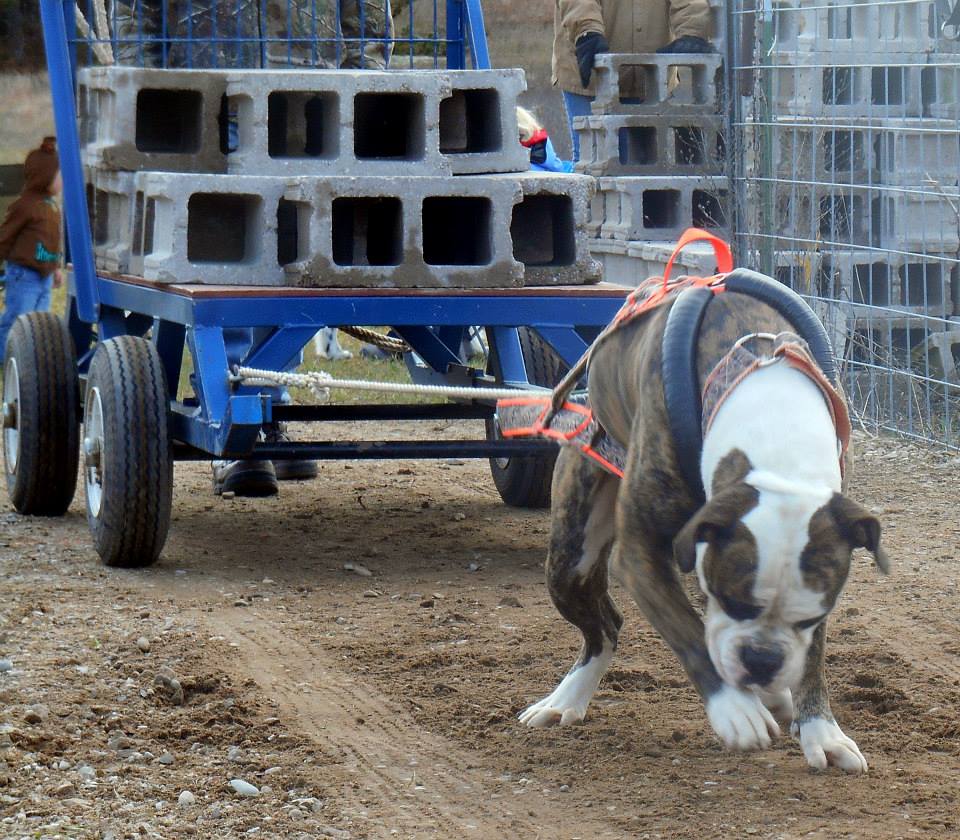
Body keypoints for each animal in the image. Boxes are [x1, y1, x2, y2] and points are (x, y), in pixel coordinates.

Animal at [520, 290, 888, 776]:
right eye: (732, 601)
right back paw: (566, 700)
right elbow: (689, 633)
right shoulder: (639, 555)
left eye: (810, 618)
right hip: (570, 561)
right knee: (603, 628)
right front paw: (735, 708)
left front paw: (821, 731)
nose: (762, 659)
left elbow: (812, 656)